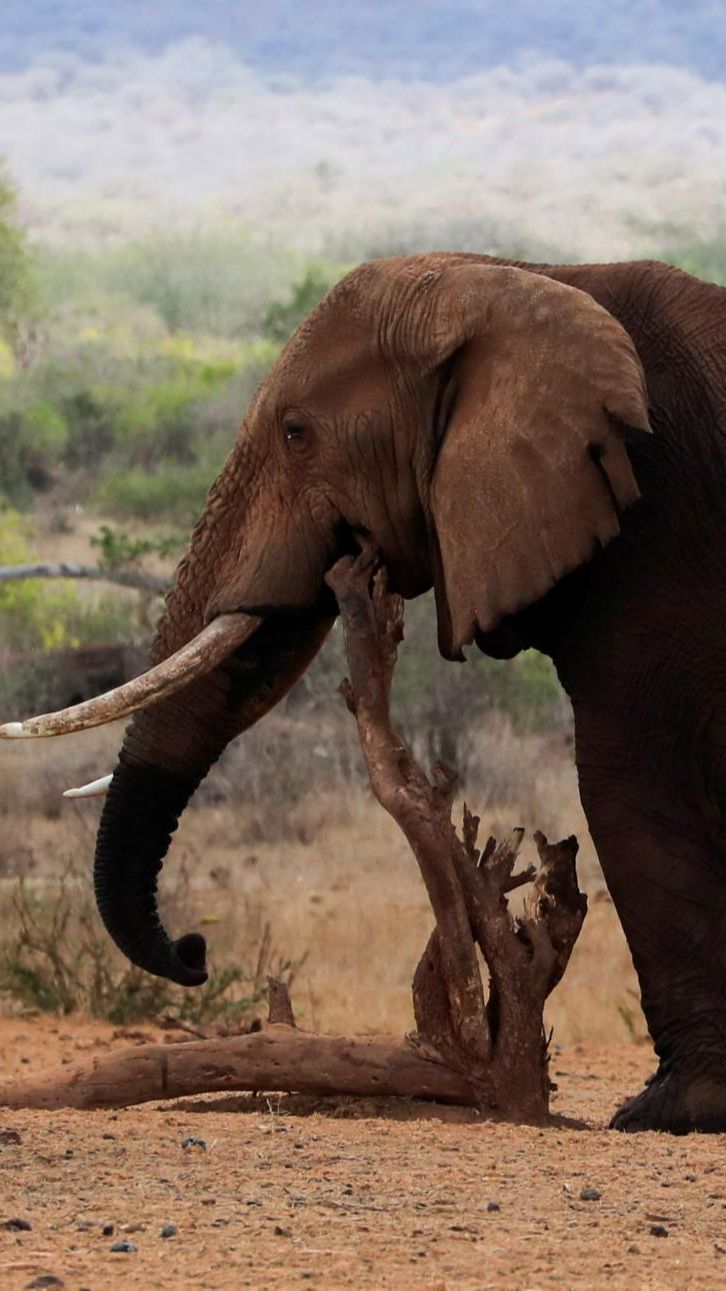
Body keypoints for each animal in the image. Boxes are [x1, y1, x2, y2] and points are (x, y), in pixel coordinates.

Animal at [5, 249, 723, 1130]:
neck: (530, 277)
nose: (195, 952)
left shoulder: (656, 532)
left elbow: (627, 776)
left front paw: (670, 1109)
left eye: (295, 433)